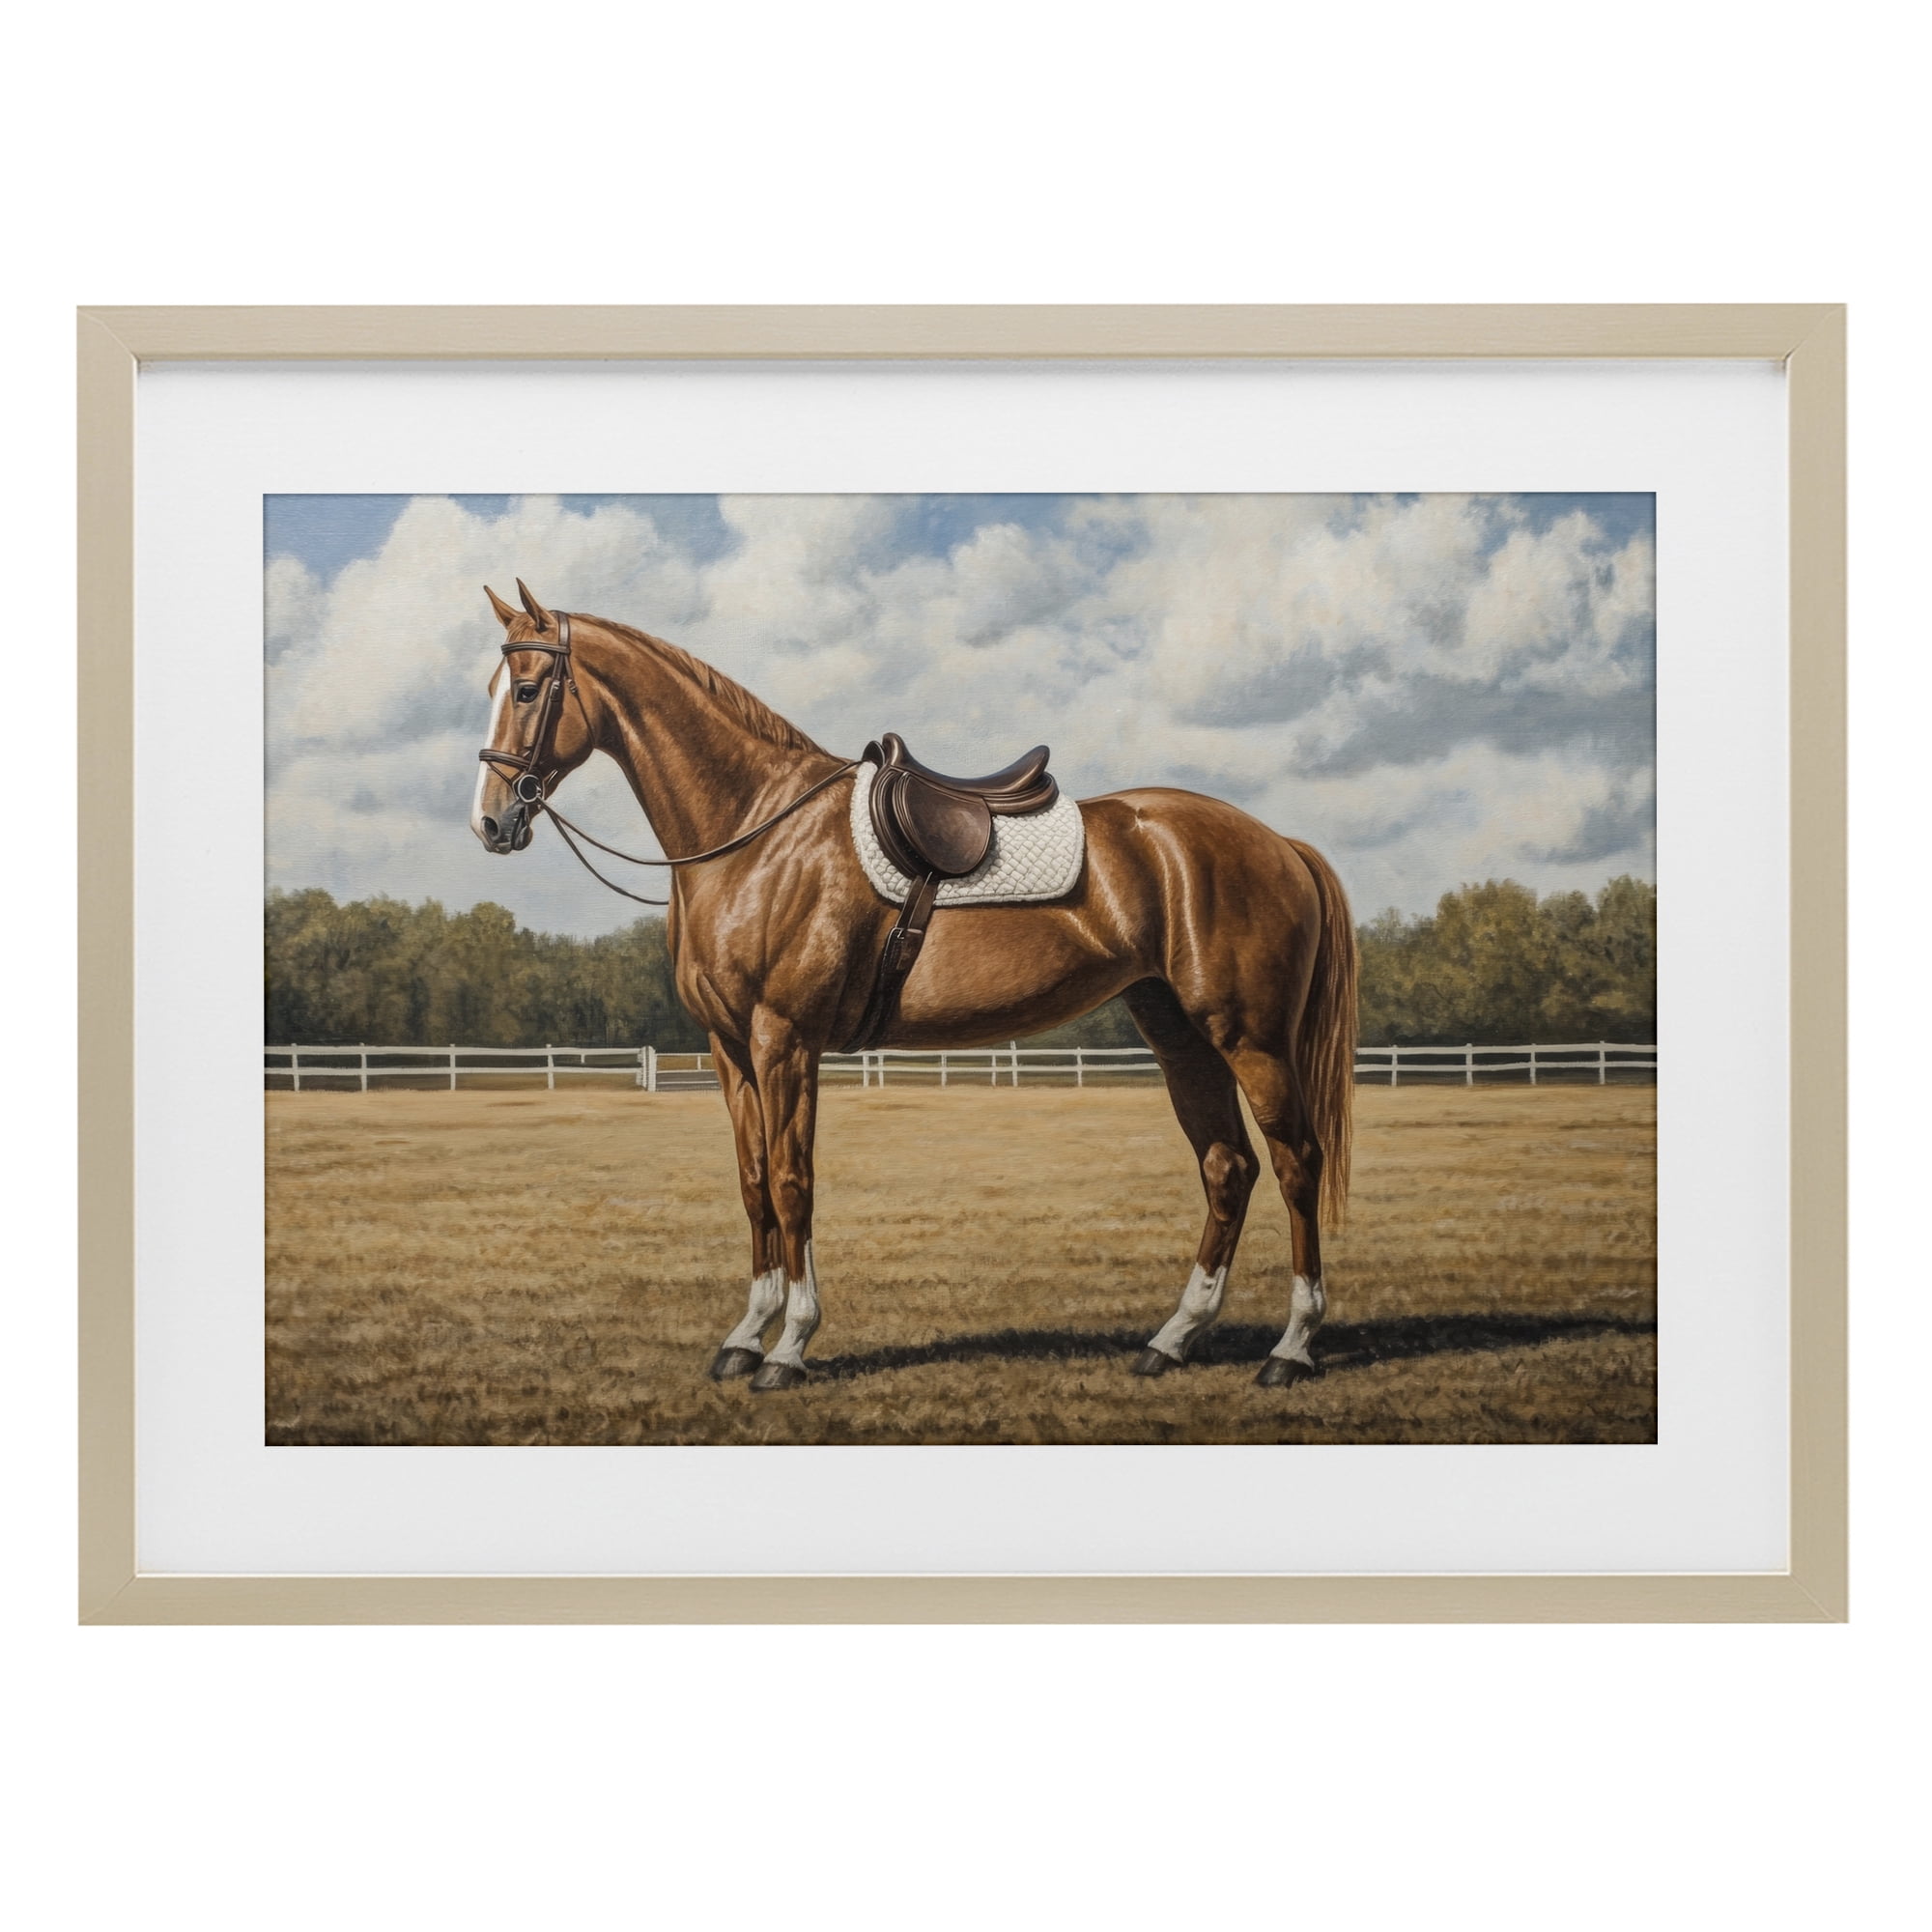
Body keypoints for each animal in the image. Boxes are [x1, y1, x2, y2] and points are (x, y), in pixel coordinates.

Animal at [471, 580, 1357, 1393]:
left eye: (526, 690)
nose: (490, 822)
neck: (756, 833)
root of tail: (1278, 842)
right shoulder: (729, 1047)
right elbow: (754, 1183)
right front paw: (745, 1335)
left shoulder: (784, 1039)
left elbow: (792, 1182)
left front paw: (789, 1346)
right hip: (1179, 1035)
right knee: (1227, 1167)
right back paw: (1172, 1340)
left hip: (1251, 1038)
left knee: (1296, 1162)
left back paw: (1290, 1348)